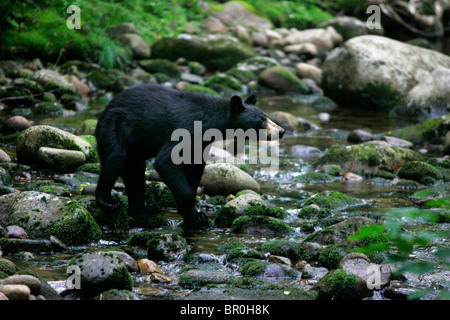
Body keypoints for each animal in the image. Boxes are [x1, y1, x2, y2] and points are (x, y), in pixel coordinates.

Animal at [95, 84, 284, 229]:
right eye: (261, 120)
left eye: (267, 117)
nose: (281, 131)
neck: (210, 123)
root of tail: (105, 109)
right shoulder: (185, 129)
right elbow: (165, 161)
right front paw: (194, 214)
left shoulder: (200, 143)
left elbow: (194, 168)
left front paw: (191, 215)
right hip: (114, 127)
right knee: (115, 158)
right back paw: (107, 201)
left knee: (134, 171)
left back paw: (143, 208)